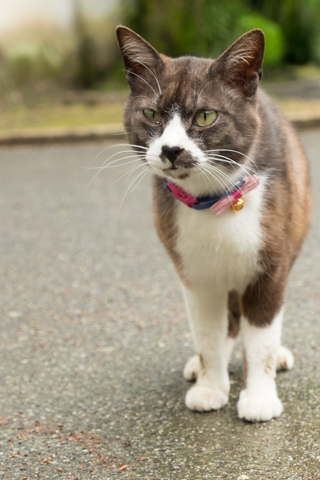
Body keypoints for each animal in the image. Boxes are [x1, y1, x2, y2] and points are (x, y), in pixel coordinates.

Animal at [116, 25, 312, 420]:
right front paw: (210, 387)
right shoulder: (194, 273)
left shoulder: (271, 265)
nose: (171, 150)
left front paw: (259, 397)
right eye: (151, 114)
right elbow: (208, 334)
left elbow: (261, 337)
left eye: (206, 116)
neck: (213, 201)